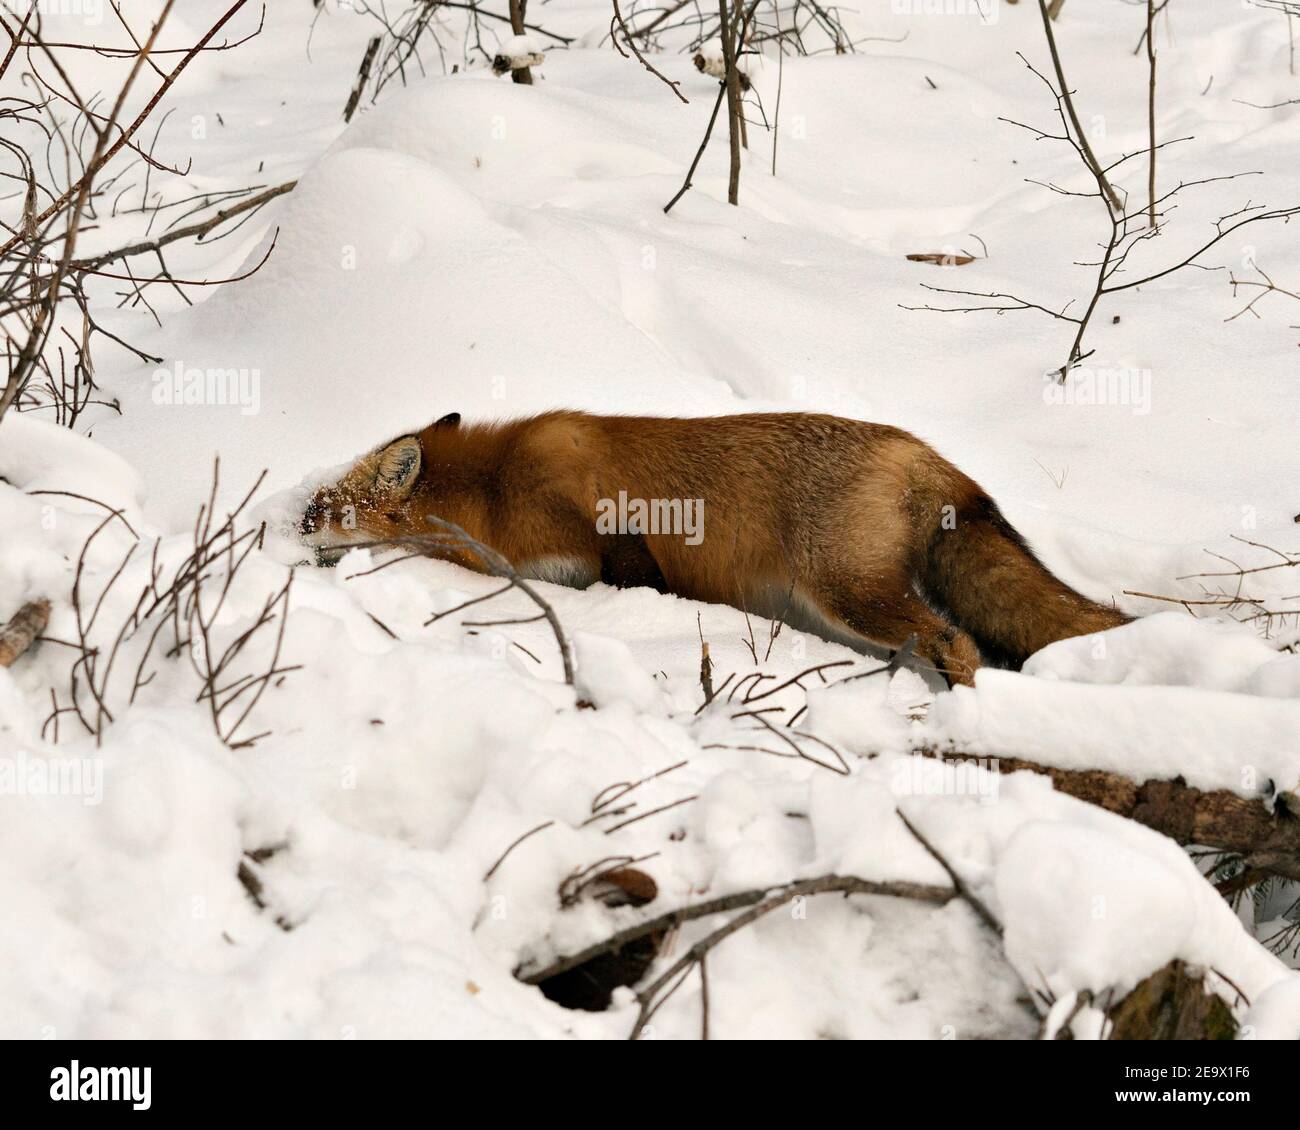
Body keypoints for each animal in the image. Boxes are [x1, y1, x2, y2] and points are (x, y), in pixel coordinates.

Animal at [298, 410, 1130, 687]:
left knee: (958, 642)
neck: (495, 488)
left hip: (848, 593)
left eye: (325, 508)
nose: (294, 524)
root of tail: (917, 448)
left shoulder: (607, 533)